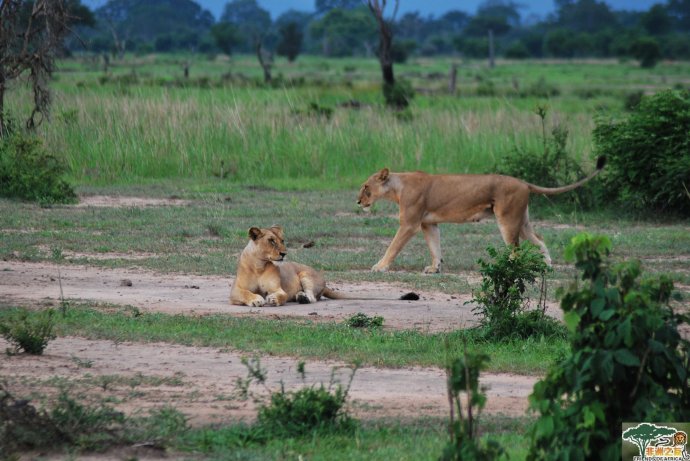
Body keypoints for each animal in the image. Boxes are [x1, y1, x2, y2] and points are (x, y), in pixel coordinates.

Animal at [228, 226, 416, 306]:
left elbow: (281, 295)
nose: (284, 253)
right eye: (271, 241)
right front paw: (256, 299)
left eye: (282, 240)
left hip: (305, 274)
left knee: (312, 297)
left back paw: (302, 298)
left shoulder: (279, 289)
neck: (259, 264)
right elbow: (245, 293)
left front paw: (272, 299)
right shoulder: (234, 291)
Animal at [354, 156, 600, 272]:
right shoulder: (428, 224)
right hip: (523, 222)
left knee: (515, 249)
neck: (397, 188)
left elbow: (393, 246)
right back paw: (547, 265)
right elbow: (435, 247)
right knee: (539, 239)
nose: (358, 201)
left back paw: (511, 268)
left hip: (507, 219)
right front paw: (435, 268)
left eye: (366, 187)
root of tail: (523, 182)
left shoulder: (410, 224)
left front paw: (380, 266)